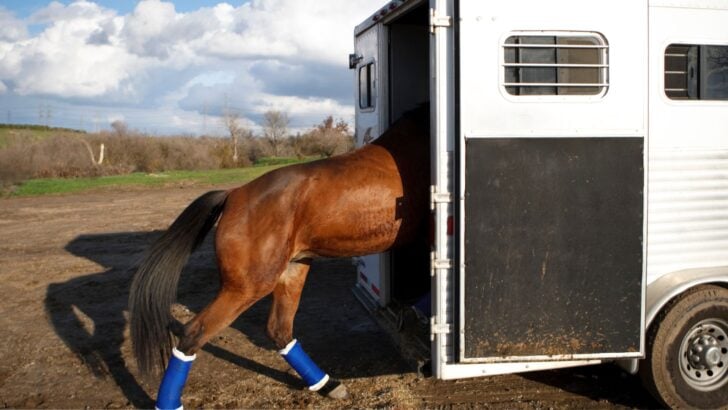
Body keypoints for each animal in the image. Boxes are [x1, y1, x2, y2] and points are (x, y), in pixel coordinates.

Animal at [128, 105, 430, 406]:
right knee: (194, 334)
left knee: (279, 330)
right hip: (247, 287)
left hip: (292, 270)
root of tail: (234, 194)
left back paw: (327, 384)